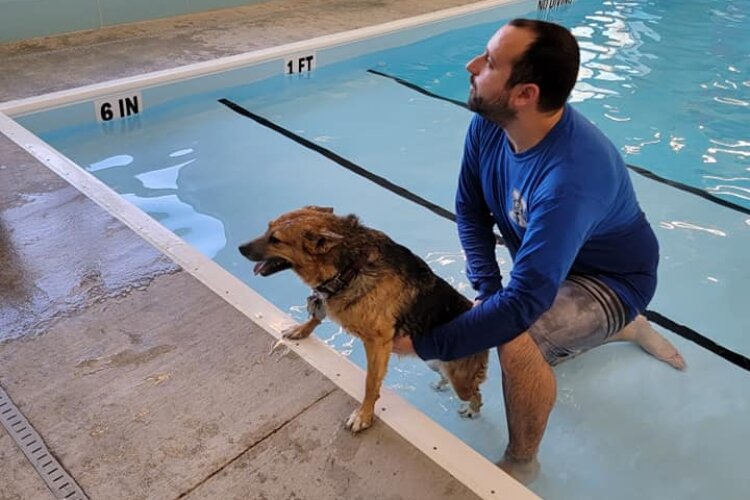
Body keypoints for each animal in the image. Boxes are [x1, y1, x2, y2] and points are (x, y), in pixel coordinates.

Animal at [238, 205, 490, 432]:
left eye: (276, 240)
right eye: (267, 228)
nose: (240, 247)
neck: (349, 265)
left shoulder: (378, 344)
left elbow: (370, 383)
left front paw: (364, 415)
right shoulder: (327, 297)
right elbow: (317, 315)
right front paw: (302, 329)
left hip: (461, 381)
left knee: (476, 393)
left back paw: (472, 410)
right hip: (434, 362)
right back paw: (441, 384)